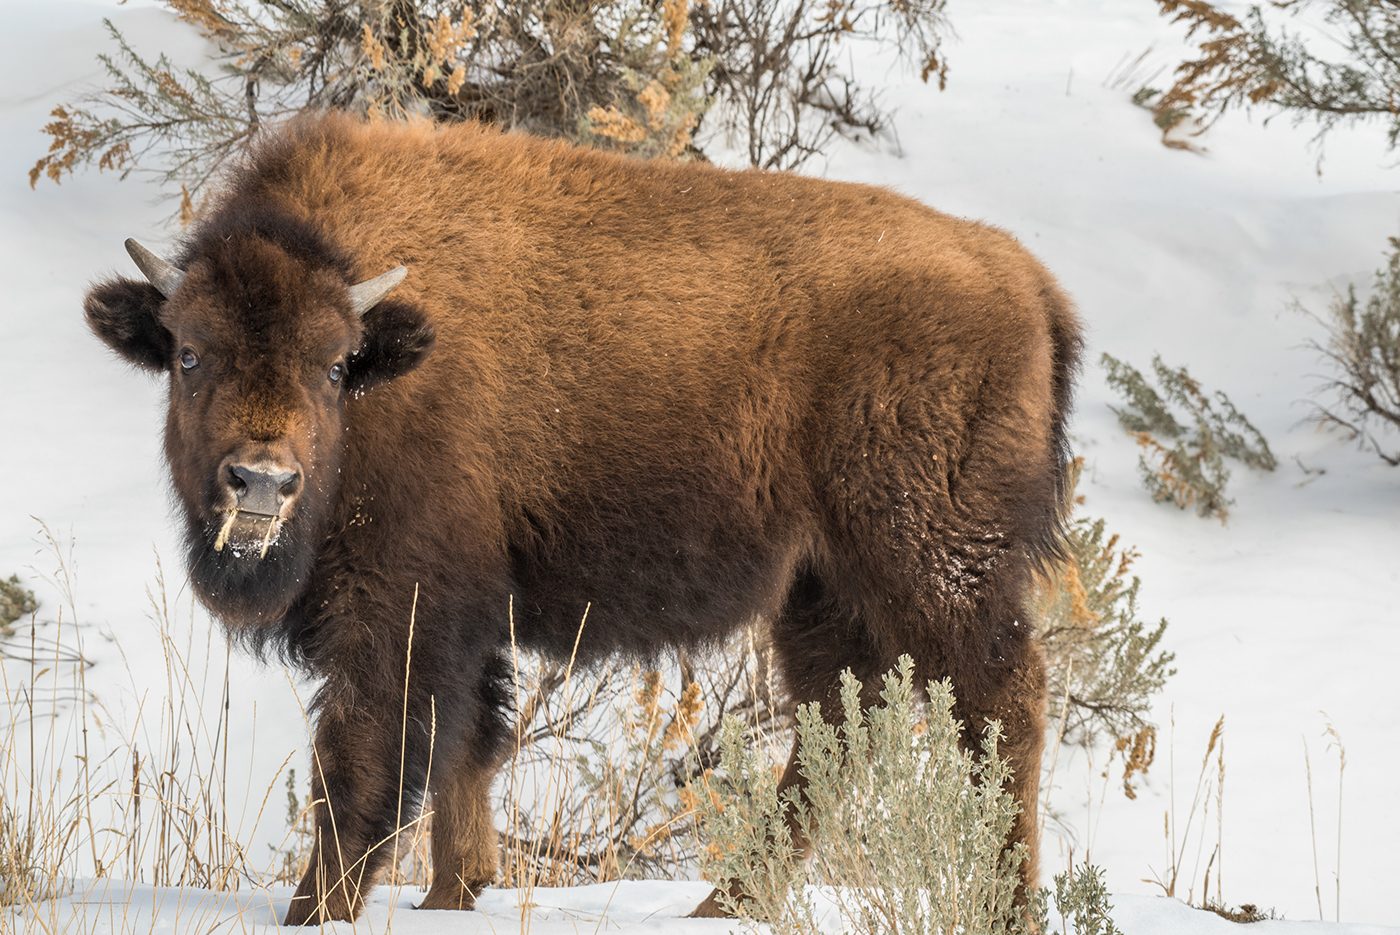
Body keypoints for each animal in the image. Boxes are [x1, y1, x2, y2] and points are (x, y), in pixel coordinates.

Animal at [84, 113, 1080, 924]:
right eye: (188, 353)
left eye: (333, 364)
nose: (261, 482)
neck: (391, 362)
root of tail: (1026, 278)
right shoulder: (469, 620)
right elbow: (472, 749)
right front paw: (456, 892)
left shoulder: (400, 610)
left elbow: (363, 765)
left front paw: (319, 912)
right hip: (821, 584)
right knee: (841, 724)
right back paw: (725, 904)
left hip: (932, 559)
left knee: (1000, 702)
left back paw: (1001, 904)